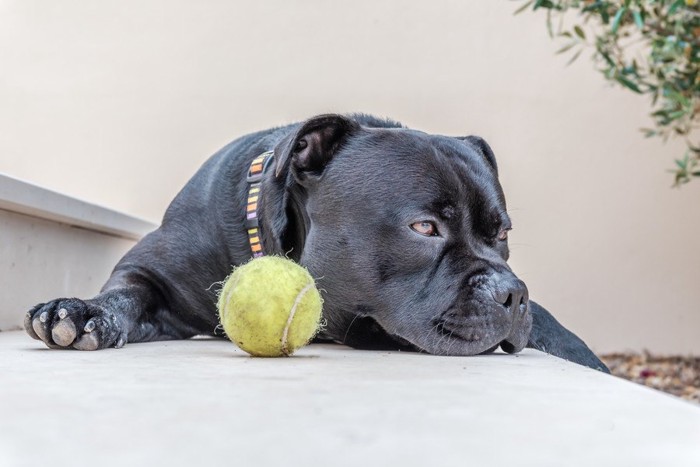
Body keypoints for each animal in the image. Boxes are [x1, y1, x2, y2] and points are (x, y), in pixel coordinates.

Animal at [23, 114, 608, 372]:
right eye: (424, 228)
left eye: (502, 233)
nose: (513, 294)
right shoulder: (155, 276)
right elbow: (125, 293)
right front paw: (80, 311)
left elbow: (561, 334)